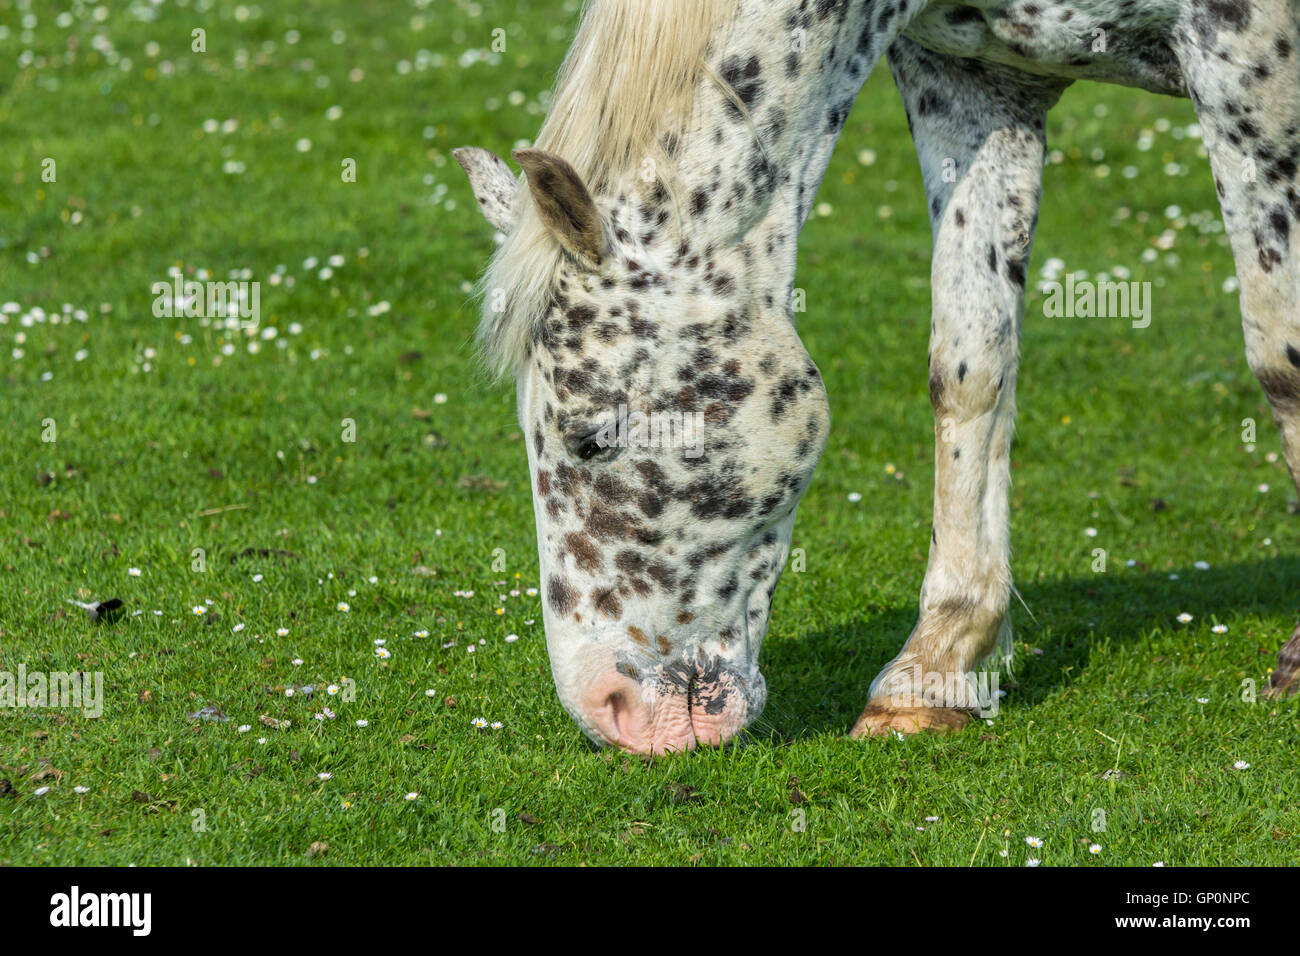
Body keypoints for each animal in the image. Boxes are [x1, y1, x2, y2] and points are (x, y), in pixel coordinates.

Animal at [454, 0, 1300, 754]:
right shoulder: (974, 81)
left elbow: (1280, 357)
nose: (609, 710)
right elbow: (970, 364)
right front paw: (932, 671)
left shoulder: (1247, 68)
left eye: (594, 436)